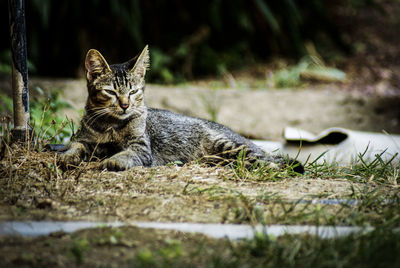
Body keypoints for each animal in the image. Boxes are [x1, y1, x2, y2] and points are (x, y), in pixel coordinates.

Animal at [59, 45, 304, 174]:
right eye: (110, 92)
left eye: (133, 91)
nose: (125, 105)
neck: (111, 126)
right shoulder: (83, 139)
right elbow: (74, 147)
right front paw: (66, 156)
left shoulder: (141, 148)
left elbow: (127, 153)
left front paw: (113, 160)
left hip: (230, 145)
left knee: (267, 161)